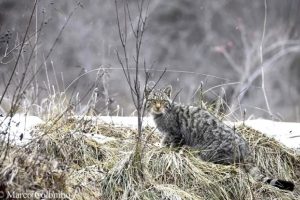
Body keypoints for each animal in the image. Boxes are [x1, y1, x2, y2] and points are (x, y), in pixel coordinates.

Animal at [145, 84, 296, 191]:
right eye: (153, 100)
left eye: (162, 100)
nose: (157, 107)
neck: (161, 116)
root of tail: (246, 148)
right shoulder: (168, 135)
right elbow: (164, 142)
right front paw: (159, 147)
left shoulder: (176, 134)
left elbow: (172, 146)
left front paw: (166, 150)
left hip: (211, 153)